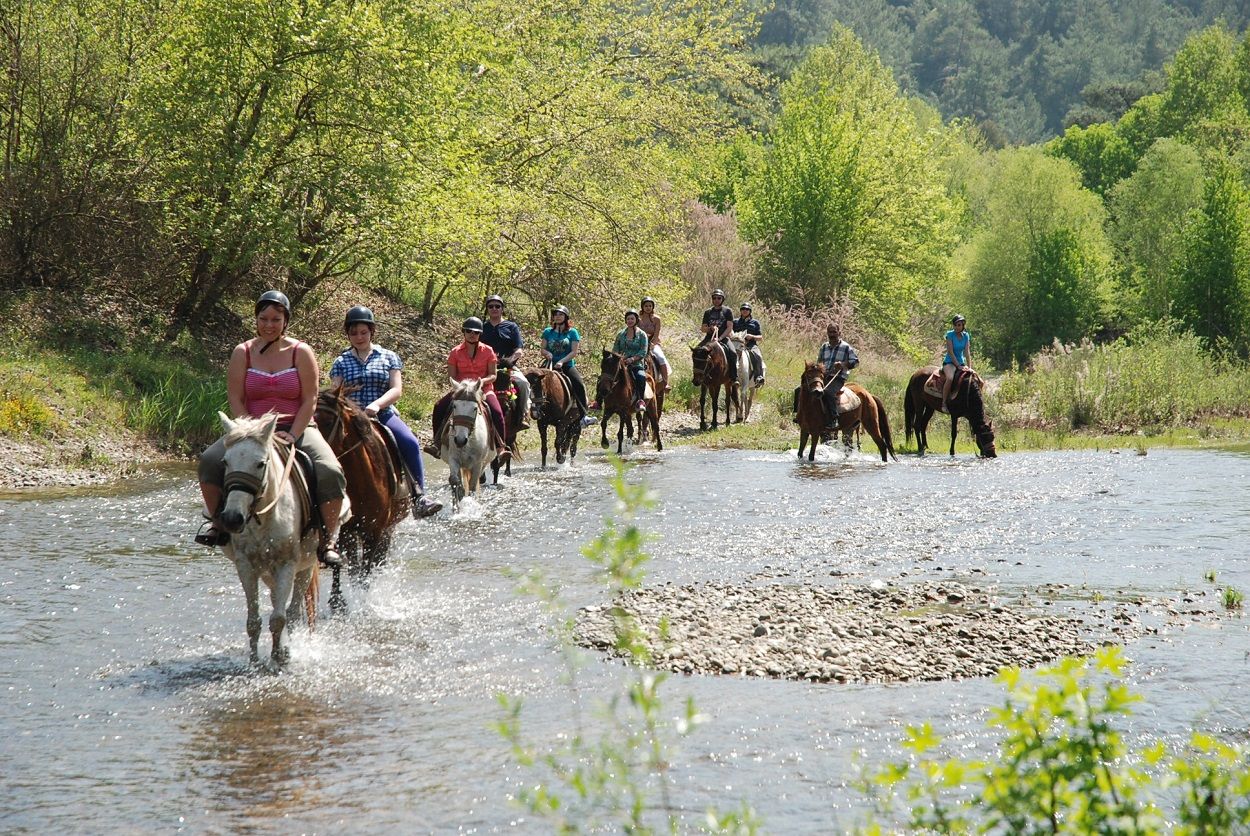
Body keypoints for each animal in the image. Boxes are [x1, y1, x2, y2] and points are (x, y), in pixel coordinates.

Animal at [217, 409, 330, 664]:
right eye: (225, 462)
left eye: (260, 464)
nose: (232, 518)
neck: (264, 516)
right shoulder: (245, 565)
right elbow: (253, 621)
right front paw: (254, 661)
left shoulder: (287, 565)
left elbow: (279, 618)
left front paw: (278, 657)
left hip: (305, 566)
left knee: (293, 611)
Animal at [312, 384, 410, 607]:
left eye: (329, 422)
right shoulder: (344, 530)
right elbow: (345, 566)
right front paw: (337, 603)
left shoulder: (374, 531)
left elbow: (365, 570)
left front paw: (363, 602)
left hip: (388, 529)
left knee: (377, 563)